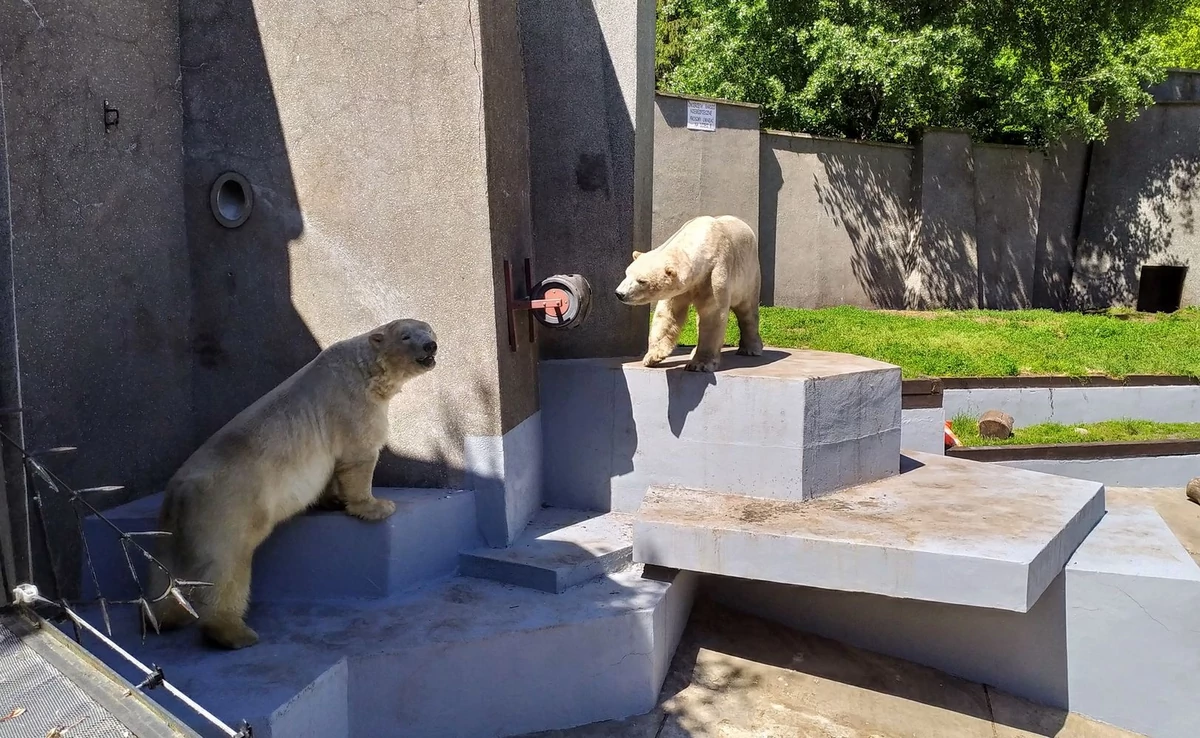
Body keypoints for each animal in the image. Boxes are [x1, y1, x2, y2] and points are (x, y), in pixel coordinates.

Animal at [145, 316, 436, 648]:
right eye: (406, 336)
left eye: (429, 330)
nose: (431, 346)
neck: (363, 368)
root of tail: (180, 493)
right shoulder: (353, 405)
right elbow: (359, 456)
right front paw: (376, 506)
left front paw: (331, 500)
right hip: (228, 510)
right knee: (226, 568)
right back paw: (234, 632)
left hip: (170, 526)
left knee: (162, 568)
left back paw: (163, 617)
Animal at [614, 216, 763, 372]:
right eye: (627, 273)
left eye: (642, 281)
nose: (620, 293)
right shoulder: (680, 289)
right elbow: (668, 314)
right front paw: (653, 356)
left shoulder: (712, 275)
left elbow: (712, 315)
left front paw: (699, 364)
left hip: (749, 275)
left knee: (747, 311)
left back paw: (751, 349)